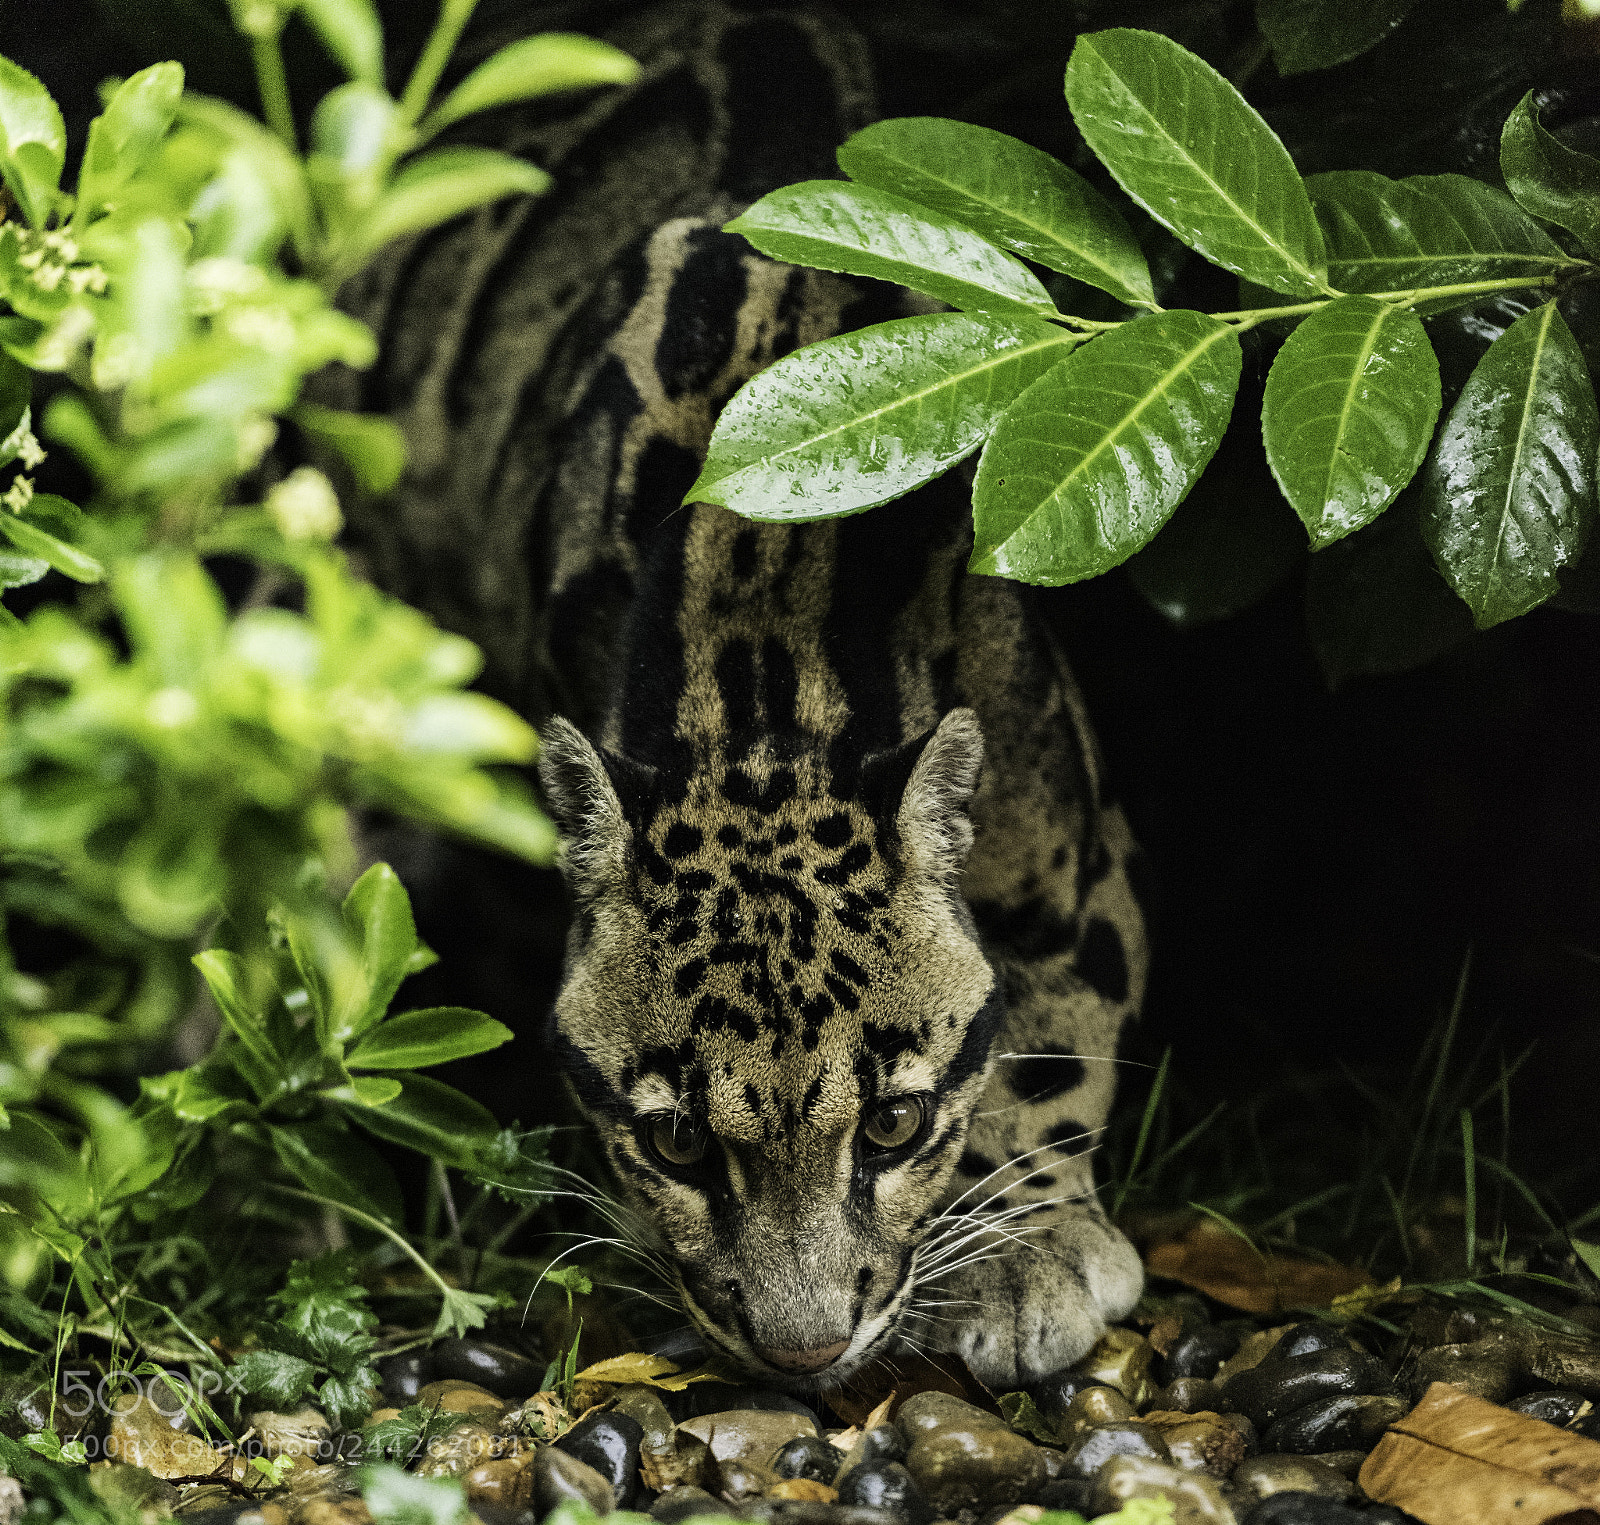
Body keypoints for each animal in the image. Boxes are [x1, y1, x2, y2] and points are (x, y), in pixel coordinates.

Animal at [326, 0, 1148, 1390]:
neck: (764, 673)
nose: (806, 1349)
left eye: (894, 1122)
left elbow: (1052, 1039)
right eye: (674, 1143)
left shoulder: (1069, 865)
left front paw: (1027, 1243)